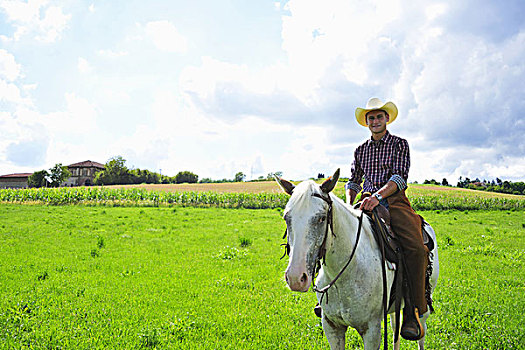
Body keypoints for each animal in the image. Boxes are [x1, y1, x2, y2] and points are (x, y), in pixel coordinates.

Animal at [274, 168, 438, 348]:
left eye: (322, 218)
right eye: (286, 218)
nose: (296, 278)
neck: (344, 274)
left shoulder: (371, 331)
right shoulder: (332, 327)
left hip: (424, 304)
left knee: (420, 333)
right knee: (396, 327)